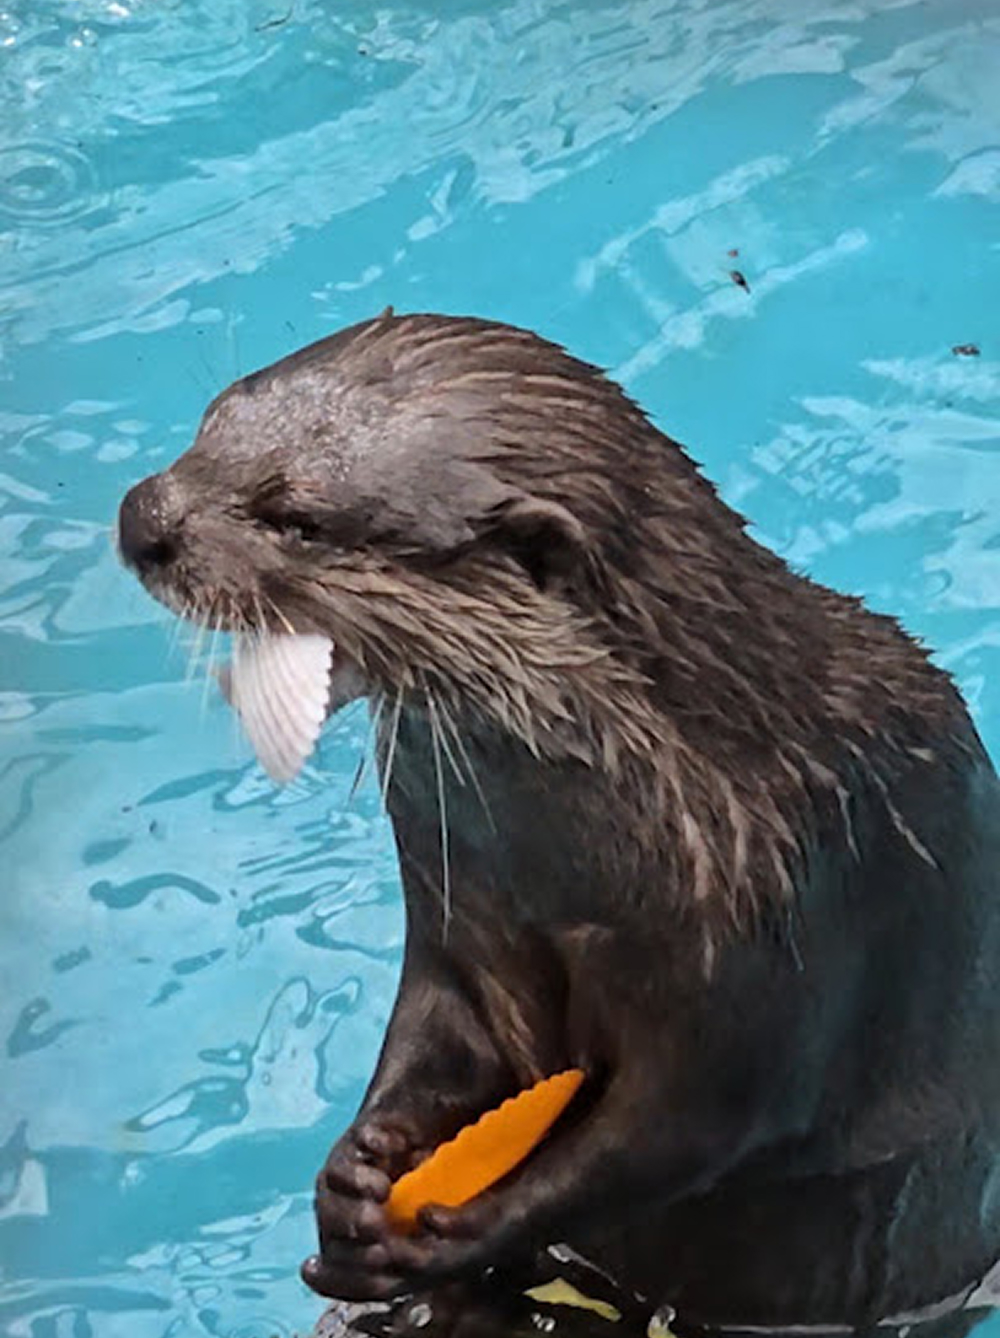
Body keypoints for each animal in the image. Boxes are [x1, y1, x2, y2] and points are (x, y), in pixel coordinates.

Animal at [118, 311, 1000, 1337]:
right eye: (209, 424)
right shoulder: (460, 895)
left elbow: (693, 1124)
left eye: (298, 519)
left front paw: (474, 1225)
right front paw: (355, 1172)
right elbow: (440, 1017)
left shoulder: (791, 917)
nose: (141, 518)